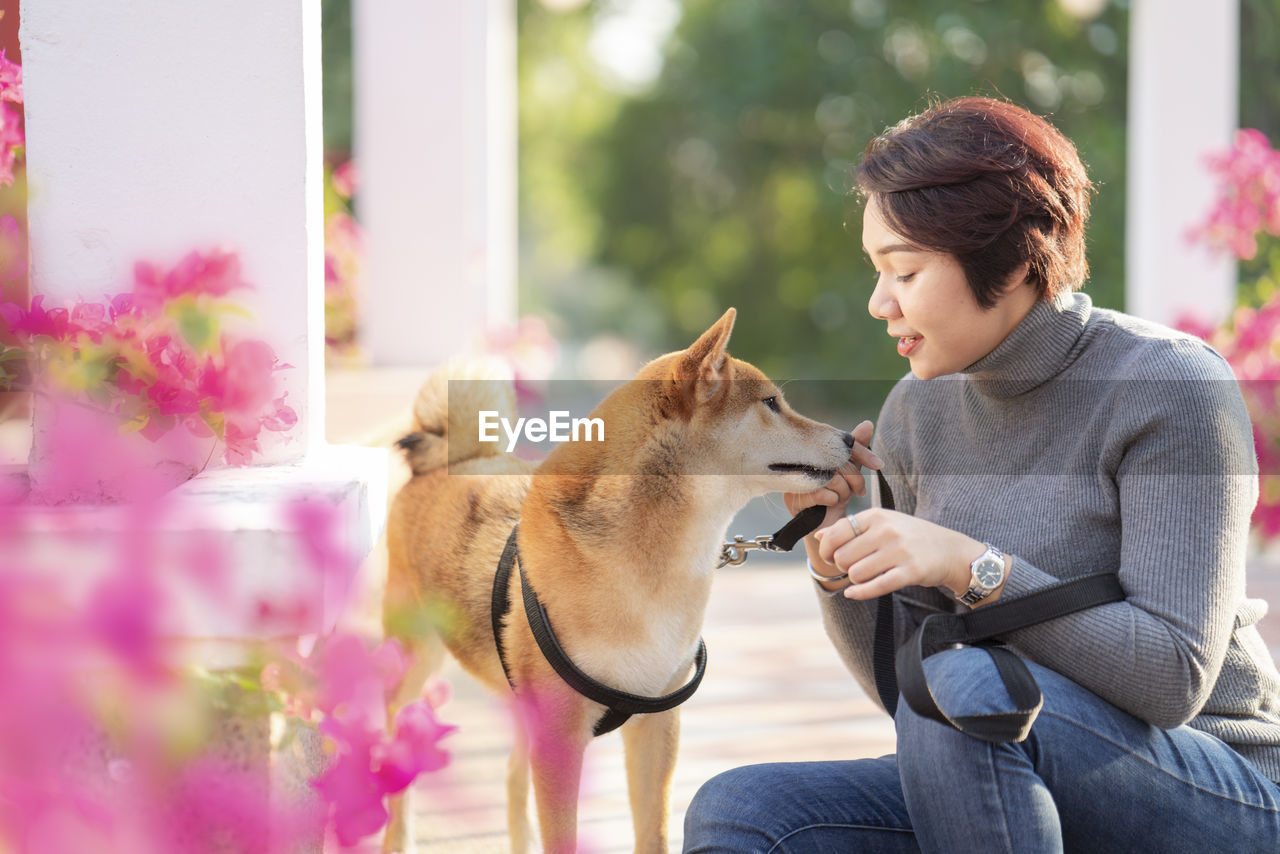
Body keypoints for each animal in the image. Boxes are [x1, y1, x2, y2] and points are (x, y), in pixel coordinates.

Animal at [381, 308, 860, 854]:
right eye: (771, 404)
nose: (850, 437)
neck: (656, 569)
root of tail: (451, 461)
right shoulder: (561, 739)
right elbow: (563, 838)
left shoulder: (657, 723)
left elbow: (653, 832)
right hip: (414, 668)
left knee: (511, 777)